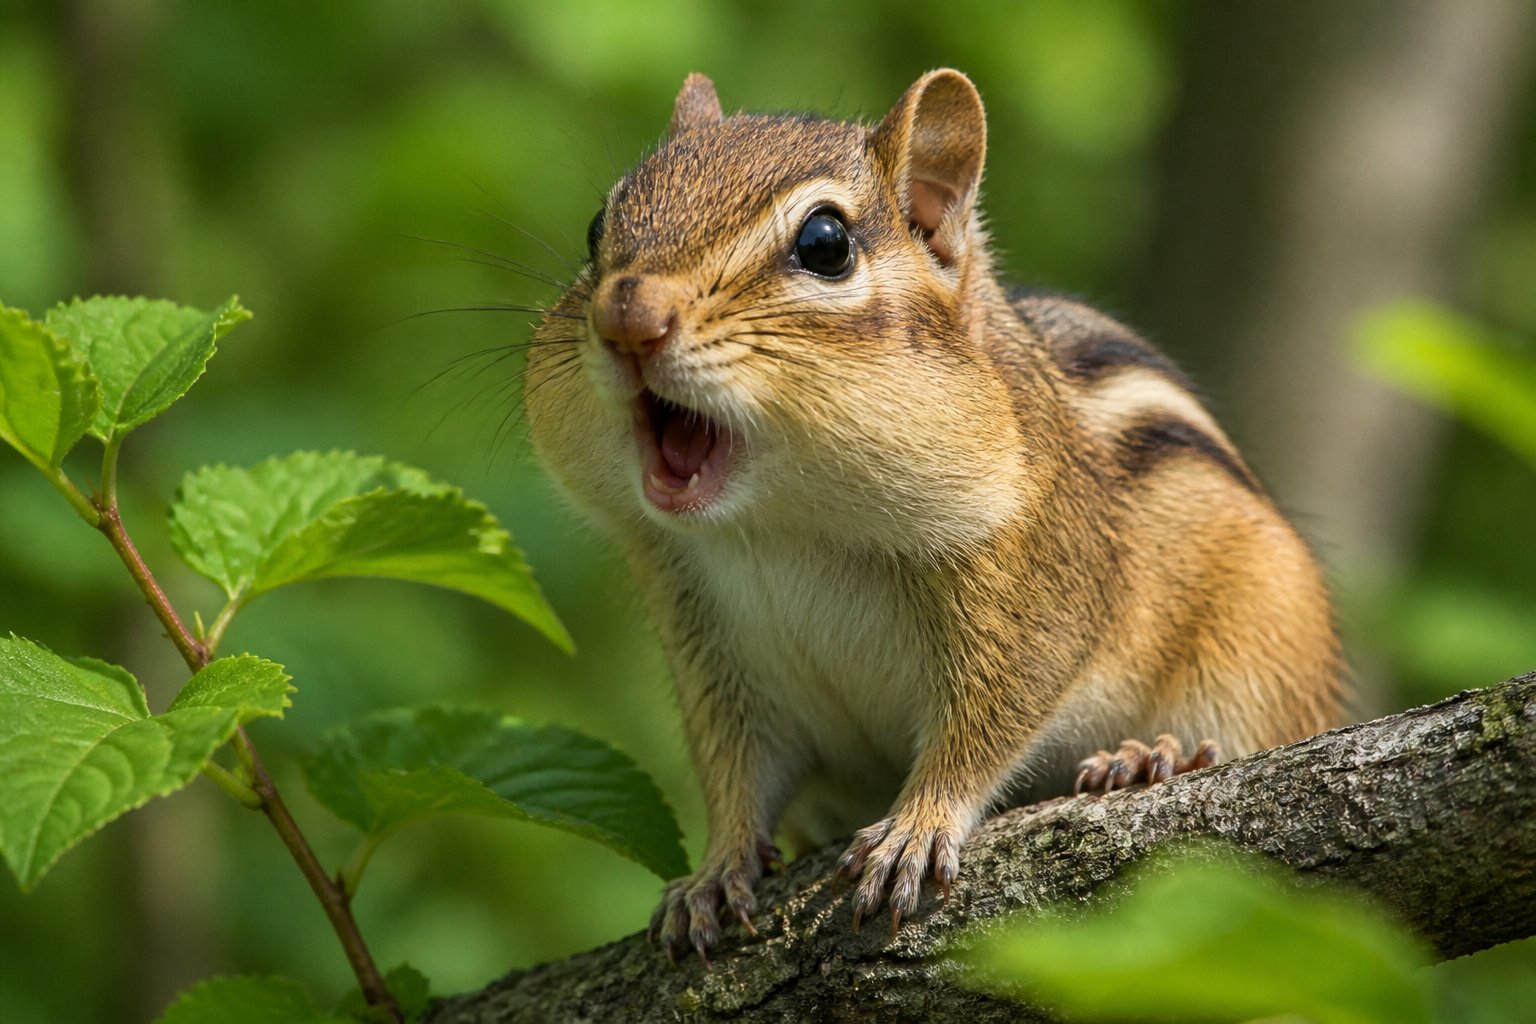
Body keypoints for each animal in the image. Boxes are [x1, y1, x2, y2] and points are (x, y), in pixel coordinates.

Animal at [523, 70, 1344, 963]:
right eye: (597, 226)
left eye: (825, 244)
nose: (628, 317)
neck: (783, 529)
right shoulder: (706, 640)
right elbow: (734, 768)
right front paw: (713, 871)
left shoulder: (1034, 584)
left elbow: (989, 719)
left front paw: (918, 827)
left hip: (1262, 641)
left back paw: (1149, 756)